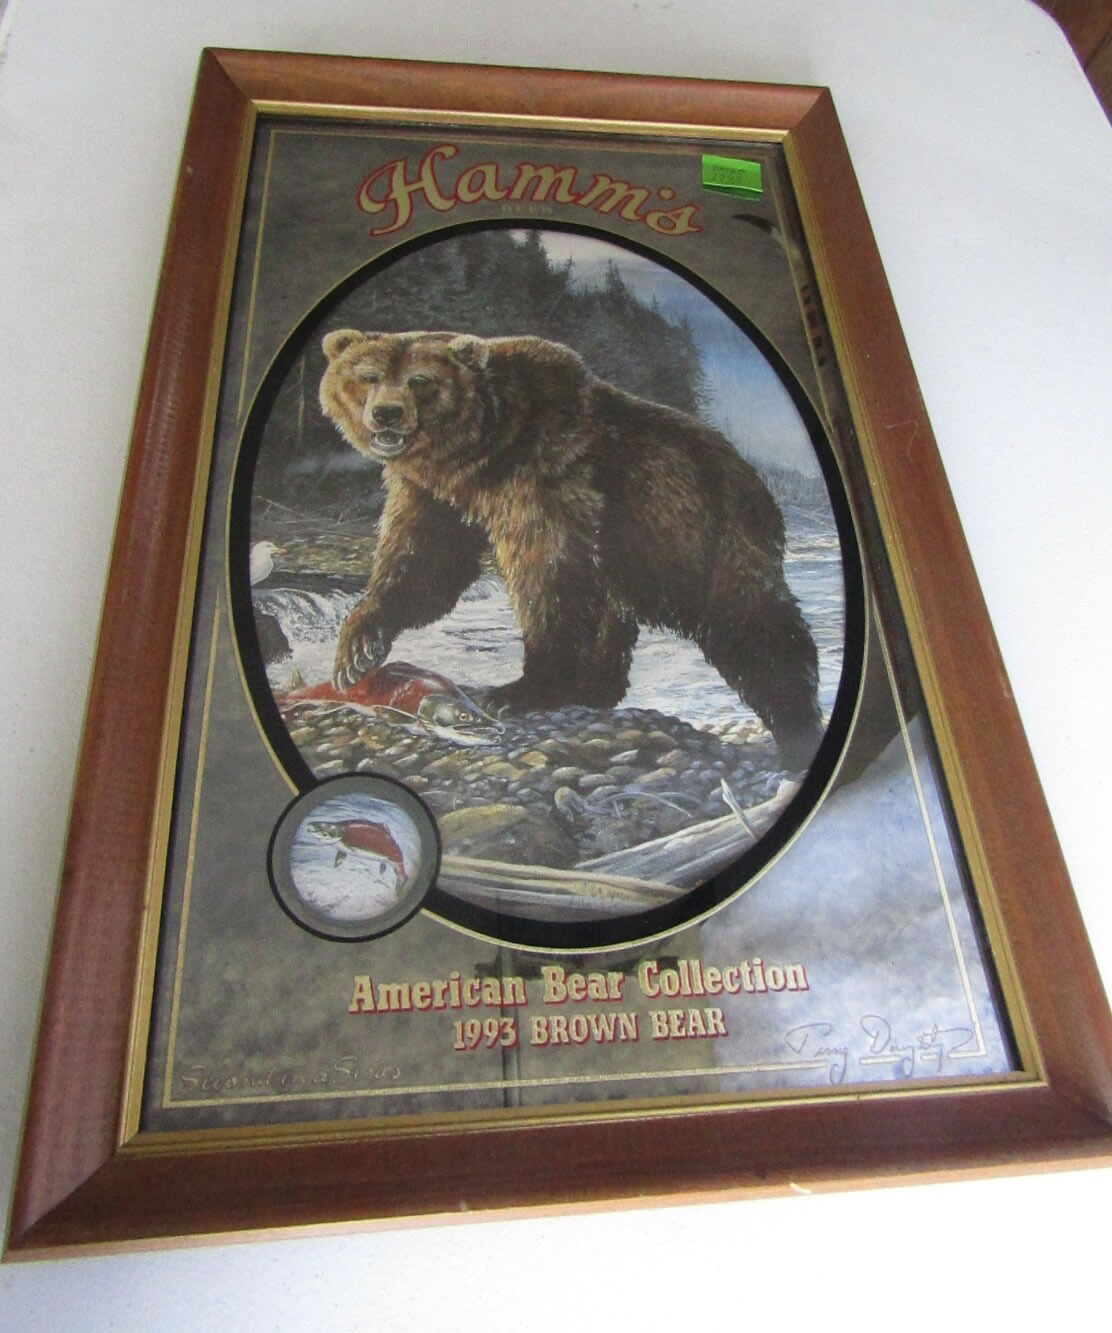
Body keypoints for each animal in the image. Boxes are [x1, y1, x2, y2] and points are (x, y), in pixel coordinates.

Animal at [318, 328, 823, 769]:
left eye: (420, 380)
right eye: (368, 375)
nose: (387, 414)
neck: (478, 453)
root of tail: (756, 482)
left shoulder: (548, 474)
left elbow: (549, 573)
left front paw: (519, 690)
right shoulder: (434, 493)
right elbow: (425, 561)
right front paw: (356, 652)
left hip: (703, 539)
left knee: (751, 625)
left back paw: (797, 727)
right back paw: (596, 689)